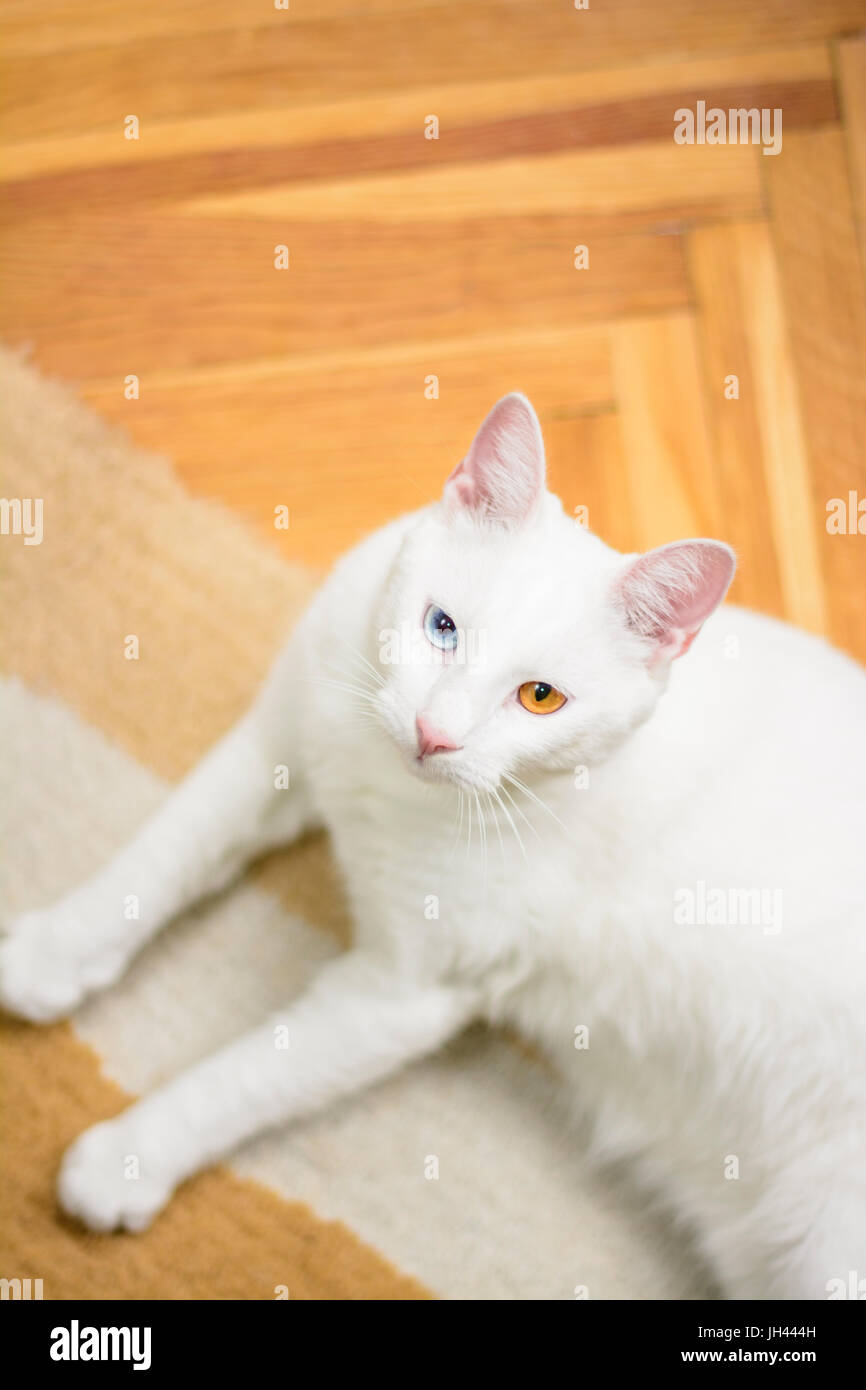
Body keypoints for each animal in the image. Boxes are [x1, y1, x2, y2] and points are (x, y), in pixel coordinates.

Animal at [1, 394, 866, 1301]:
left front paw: (131, 1156)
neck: (385, 787)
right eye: (442, 628)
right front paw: (58, 951)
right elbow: (169, 852)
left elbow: (247, 1077)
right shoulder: (273, 745)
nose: (434, 733)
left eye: (540, 697)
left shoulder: (402, 996)